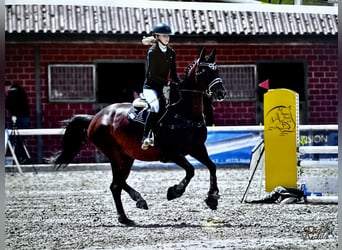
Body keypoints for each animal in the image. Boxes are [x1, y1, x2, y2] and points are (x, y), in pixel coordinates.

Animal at [52, 47, 226, 226]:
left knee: (116, 184)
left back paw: (128, 213)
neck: (184, 113)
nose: (220, 92)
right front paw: (174, 192)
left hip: (127, 156)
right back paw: (134, 205)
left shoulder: (197, 148)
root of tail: (95, 117)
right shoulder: (172, 153)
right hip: (113, 153)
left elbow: (212, 166)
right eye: (202, 71)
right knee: (117, 183)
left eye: (217, 69)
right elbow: (190, 170)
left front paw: (212, 198)